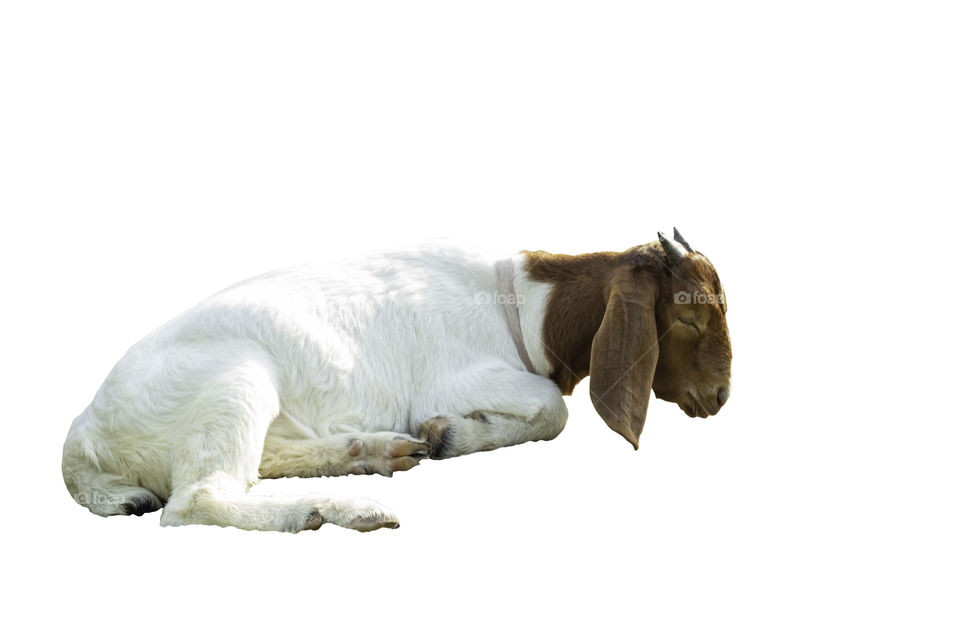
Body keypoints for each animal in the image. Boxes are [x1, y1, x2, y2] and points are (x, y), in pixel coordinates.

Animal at [62, 230, 732, 532]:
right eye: (689, 316)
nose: (721, 397)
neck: (520, 304)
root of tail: (82, 432)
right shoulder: (457, 378)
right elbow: (554, 409)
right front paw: (451, 433)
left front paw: (435, 437)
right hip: (236, 382)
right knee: (194, 500)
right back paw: (332, 509)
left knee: (261, 462)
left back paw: (370, 451)